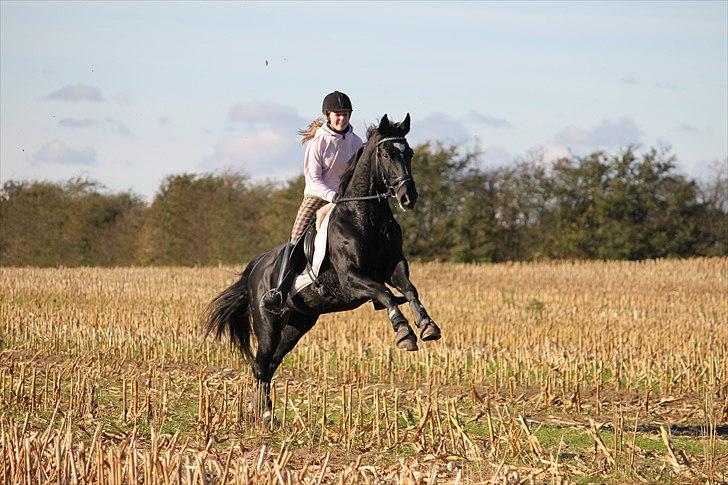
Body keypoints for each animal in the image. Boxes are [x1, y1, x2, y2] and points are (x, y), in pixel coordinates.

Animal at [205, 114, 444, 420]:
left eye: (409, 152)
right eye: (387, 154)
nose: (408, 197)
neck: (368, 218)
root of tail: (255, 268)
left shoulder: (394, 266)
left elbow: (410, 290)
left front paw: (427, 326)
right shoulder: (352, 278)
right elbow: (385, 294)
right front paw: (404, 333)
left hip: (297, 324)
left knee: (270, 365)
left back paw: (265, 414)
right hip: (268, 323)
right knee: (261, 365)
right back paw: (263, 414)